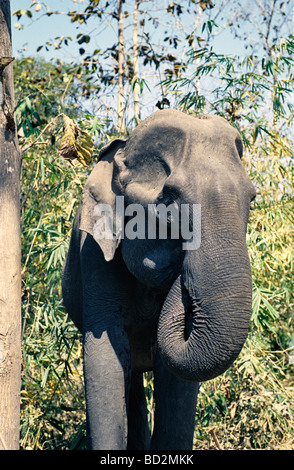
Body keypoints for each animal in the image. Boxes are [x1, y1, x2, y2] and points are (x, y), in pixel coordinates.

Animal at [61, 108, 255, 450]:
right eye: (168, 202)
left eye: (252, 199)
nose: (182, 265)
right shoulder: (93, 252)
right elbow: (104, 356)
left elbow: (176, 381)